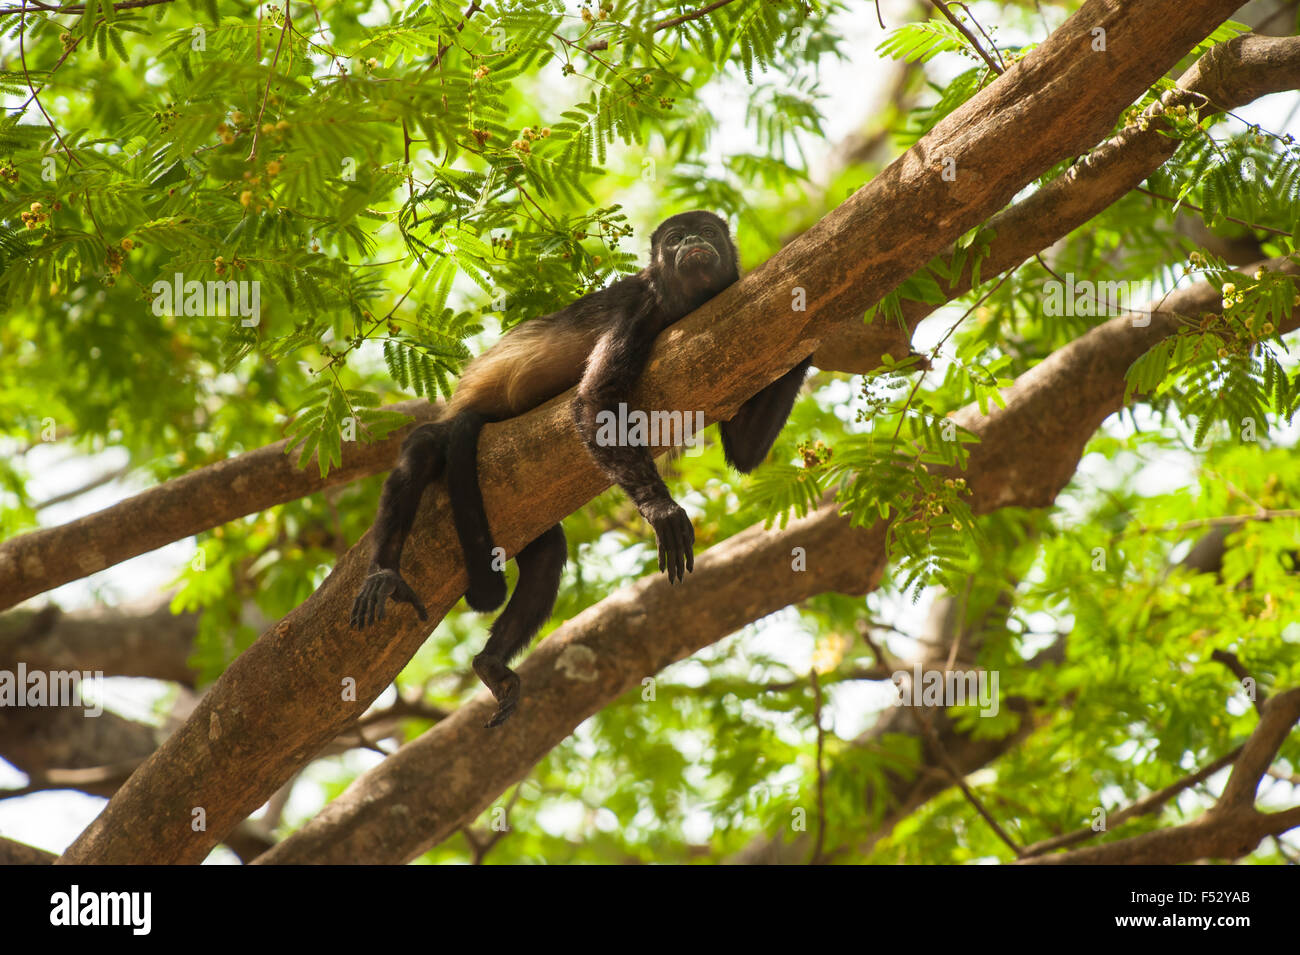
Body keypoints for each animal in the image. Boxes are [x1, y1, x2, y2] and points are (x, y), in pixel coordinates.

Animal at [351, 209, 806, 727]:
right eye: (674, 238)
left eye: (707, 232)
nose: (692, 239)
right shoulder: (638, 308)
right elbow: (595, 401)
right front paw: (661, 509)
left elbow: (743, 450)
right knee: (424, 449)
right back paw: (384, 574)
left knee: (548, 555)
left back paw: (492, 663)